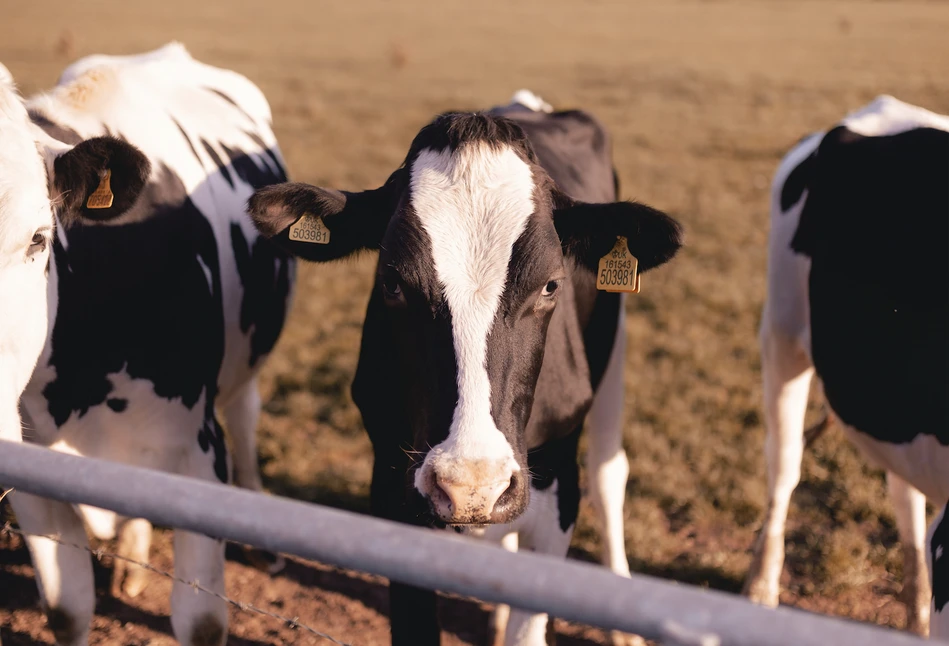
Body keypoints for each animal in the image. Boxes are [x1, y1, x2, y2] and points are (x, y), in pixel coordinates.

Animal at [0, 43, 292, 644]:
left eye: (38, 238)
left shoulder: (198, 451)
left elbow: (201, 621)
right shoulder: (30, 473)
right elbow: (67, 609)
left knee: (246, 418)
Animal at [250, 92, 680, 646]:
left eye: (550, 285)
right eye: (391, 282)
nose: (473, 484)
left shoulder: (559, 480)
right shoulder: (391, 485)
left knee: (609, 471)